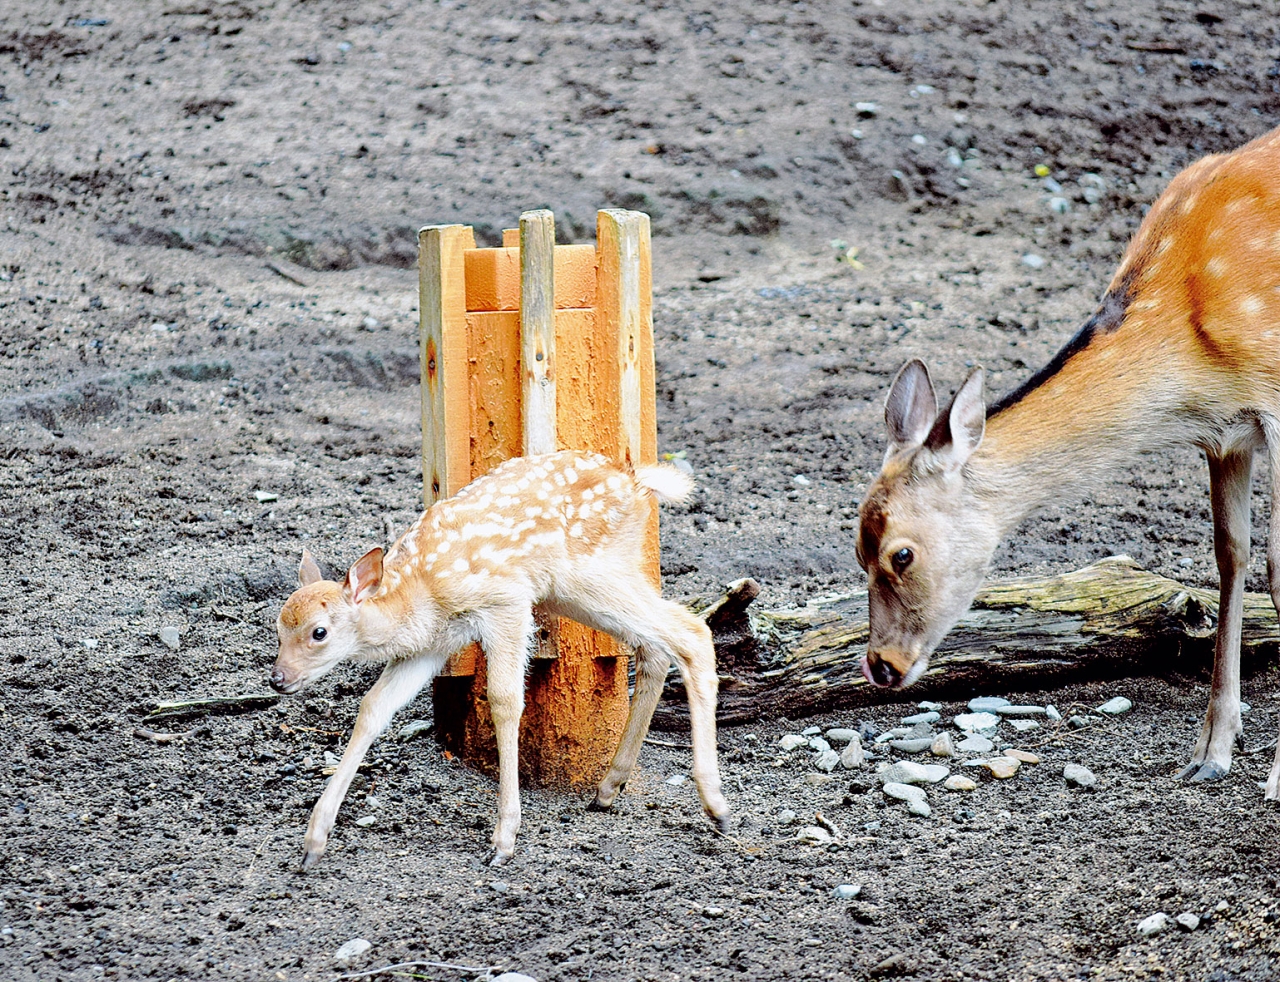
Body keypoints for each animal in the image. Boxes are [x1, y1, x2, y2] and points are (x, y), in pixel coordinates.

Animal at [849, 126, 1280, 793]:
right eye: (856, 547)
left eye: (902, 553)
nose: (881, 666)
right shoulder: (1227, 434)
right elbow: (1231, 557)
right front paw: (1210, 752)